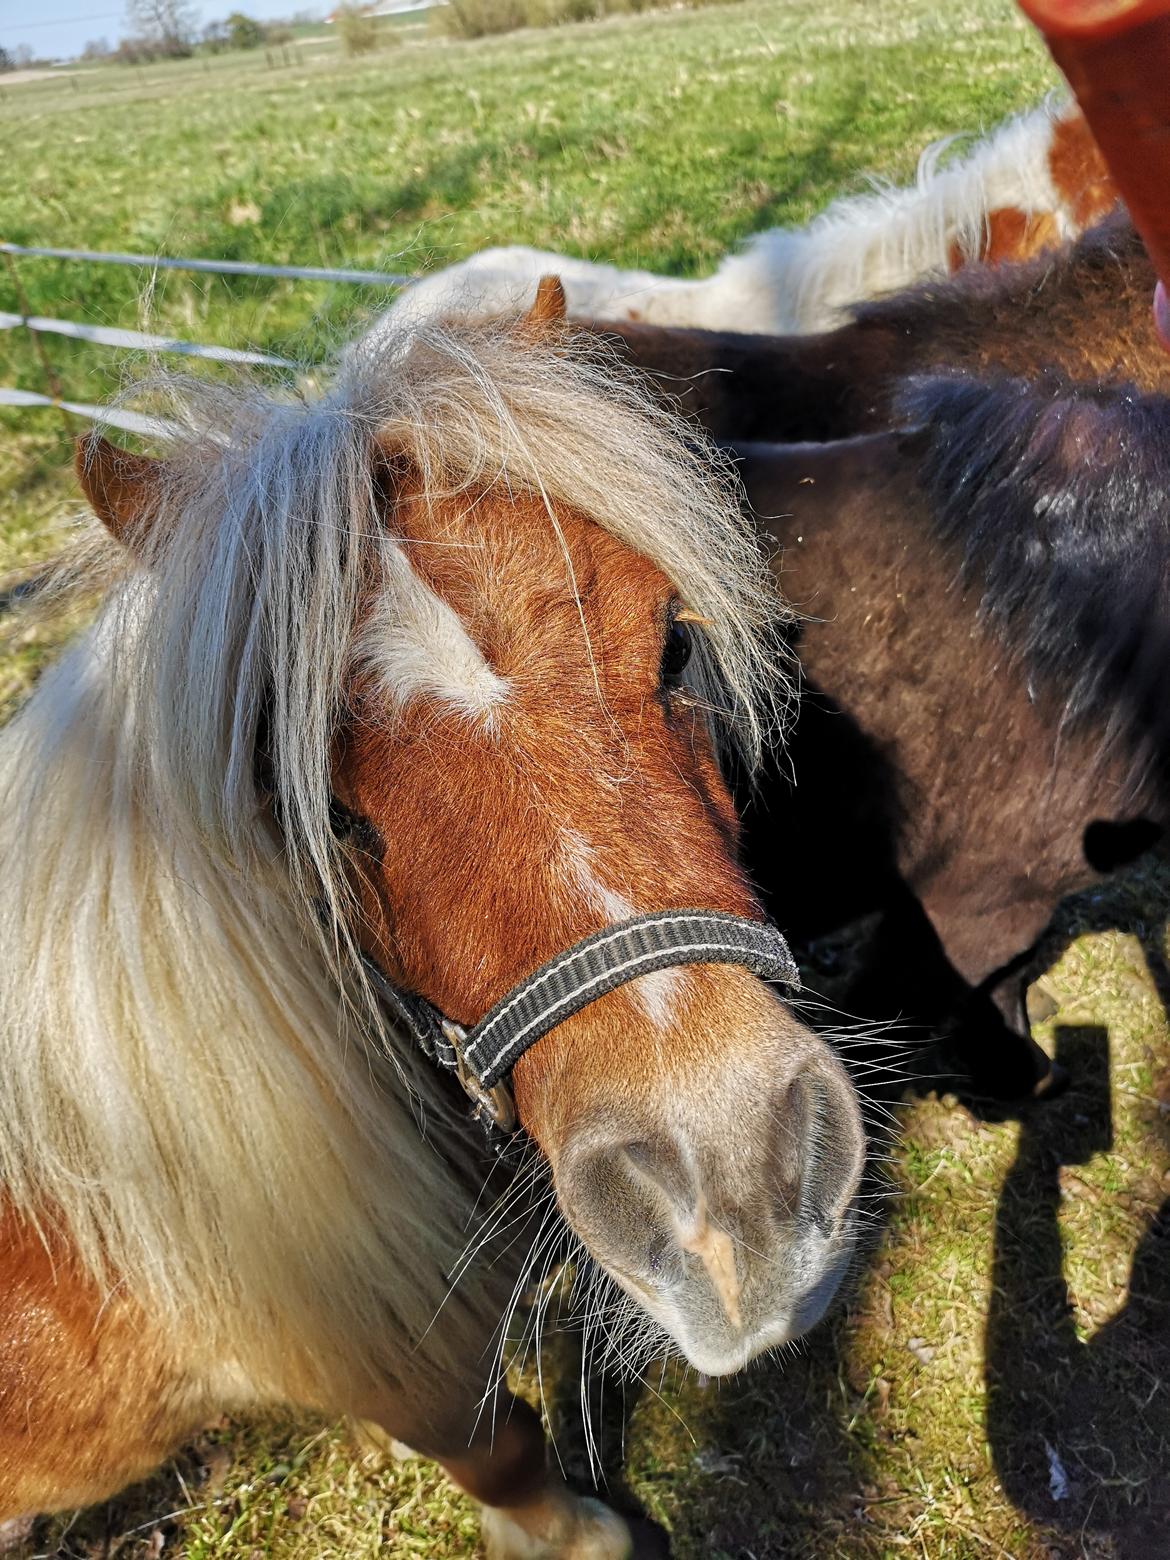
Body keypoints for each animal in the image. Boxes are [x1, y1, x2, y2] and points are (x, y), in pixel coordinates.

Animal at [0, 294, 873, 1560]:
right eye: (325, 816)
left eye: (672, 643)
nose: (738, 1193)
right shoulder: (385, 1358)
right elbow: (500, 1446)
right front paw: (581, 1539)